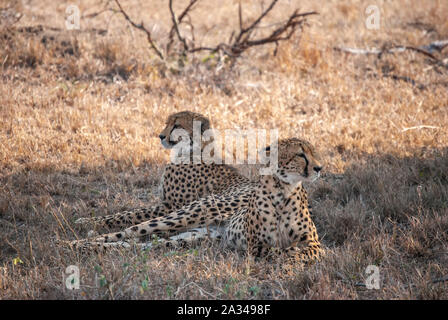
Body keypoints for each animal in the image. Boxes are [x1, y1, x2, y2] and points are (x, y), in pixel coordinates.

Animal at [66, 138, 324, 262]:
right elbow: (275, 251)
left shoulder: (315, 246)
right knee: (128, 231)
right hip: (186, 215)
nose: (319, 168)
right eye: (301, 154)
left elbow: (294, 251)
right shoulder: (255, 245)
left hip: (187, 238)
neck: (283, 192)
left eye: (314, 152)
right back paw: (74, 242)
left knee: (139, 245)